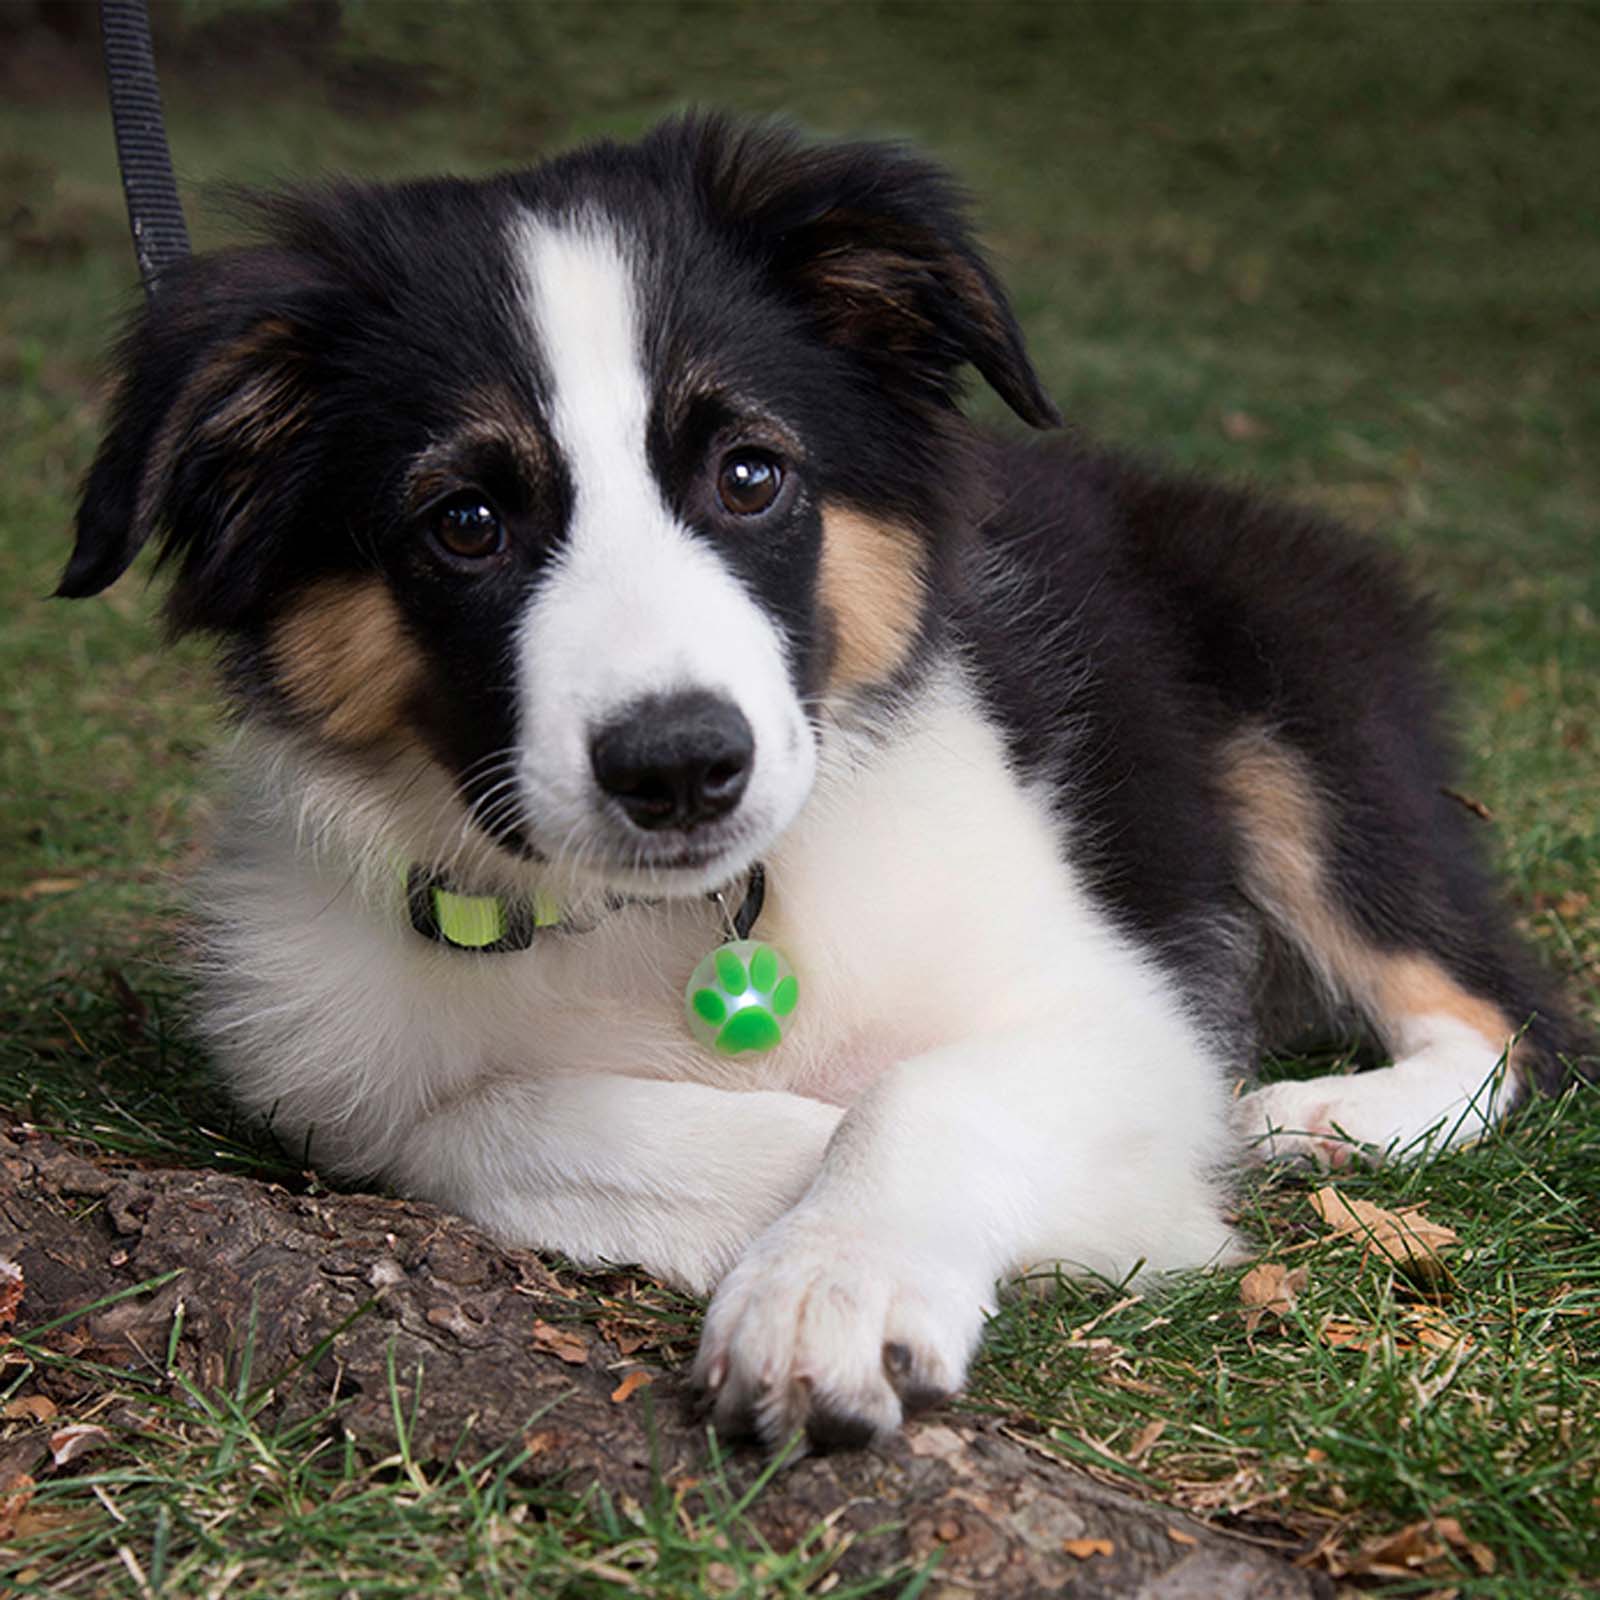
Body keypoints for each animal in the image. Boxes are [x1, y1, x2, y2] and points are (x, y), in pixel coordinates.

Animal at [59, 116, 1587, 1452]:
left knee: (1504, 1016)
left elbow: (929, 1090)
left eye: (749, 475)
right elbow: (490, 1117)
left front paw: (833, 1287)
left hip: (1298, 725)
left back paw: (1325, 1119)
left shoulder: (1112, 996)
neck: (682, 920)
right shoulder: (331, 1061)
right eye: (467, 521)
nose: (680, 765)